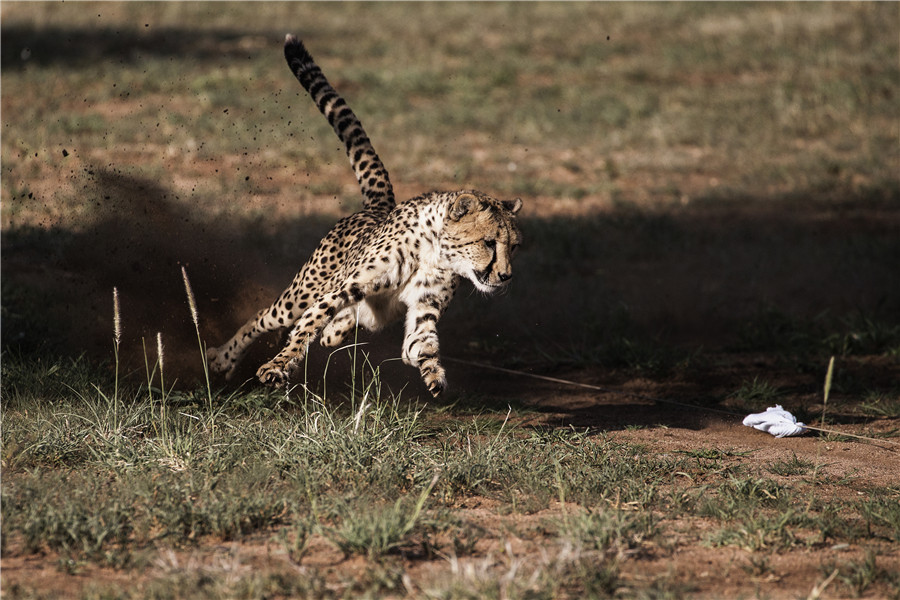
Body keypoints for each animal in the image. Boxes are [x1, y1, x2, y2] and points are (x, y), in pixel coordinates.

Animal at [206, 35, 520, 396]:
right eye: (489, 242)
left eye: (514, 247)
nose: (506, 276)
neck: (435, 251)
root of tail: (377, 208)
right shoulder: (345, 287)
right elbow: (310, 321)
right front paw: (278, 365)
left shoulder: (423, 307)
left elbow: (420, 343)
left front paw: (433, 374)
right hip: (302, 292)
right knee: (266, 317)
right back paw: (223, 358)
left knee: (341, 328)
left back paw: (336, 329)